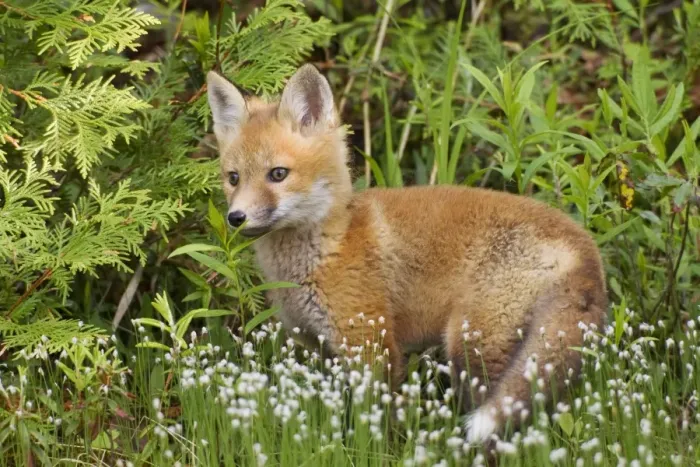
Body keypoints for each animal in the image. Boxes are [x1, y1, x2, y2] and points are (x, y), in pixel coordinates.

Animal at [205, 64, 608, 443]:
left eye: (278, 174)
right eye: (233, 178)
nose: (236, 218)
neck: (329, 246)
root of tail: (584, 245)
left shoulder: (369, 342)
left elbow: (374, 426)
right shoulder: (321, 348)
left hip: (472, 346)